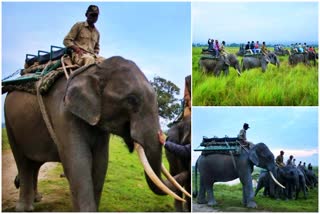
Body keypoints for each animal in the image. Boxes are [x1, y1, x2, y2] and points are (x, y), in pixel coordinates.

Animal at [4, 56, 188, 211]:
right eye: (131, 100)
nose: (185, 171)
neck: (95, 70)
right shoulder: (63, 115)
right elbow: (78, 163)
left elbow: (101, 163)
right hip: (10, 123)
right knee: (23, 162)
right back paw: (25, 208)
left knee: (34, 163)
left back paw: (37, 199)